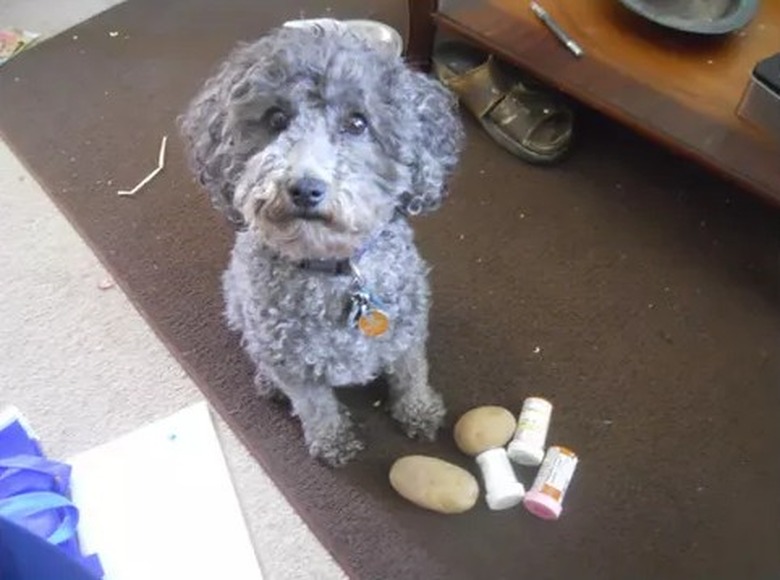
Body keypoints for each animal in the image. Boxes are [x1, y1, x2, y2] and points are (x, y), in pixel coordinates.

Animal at [181, 23, 464, 466]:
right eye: (276, 119)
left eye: (358, 123)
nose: (304, 188)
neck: (335, 271)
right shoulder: (294, 367)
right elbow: (316, 408)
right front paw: (332, 443)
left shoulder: (407, 333)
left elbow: (411, 374)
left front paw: (419, 411)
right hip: (236, 303)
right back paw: (267, 382)